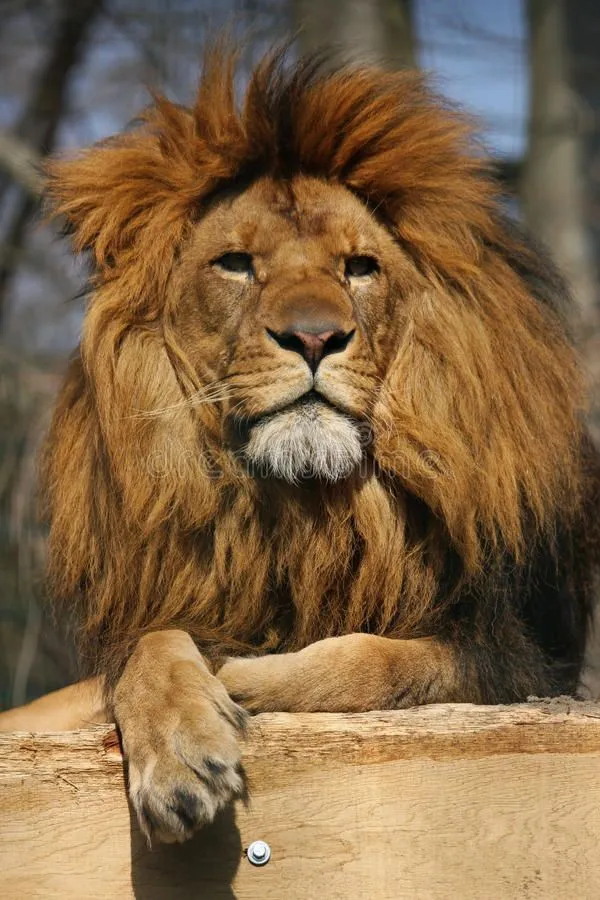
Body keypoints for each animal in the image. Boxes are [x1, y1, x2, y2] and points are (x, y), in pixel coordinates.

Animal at [1, 44, 598, 845]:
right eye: (236, 263)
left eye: (360, 267)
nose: (315, 337)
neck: (307, 505)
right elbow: (151, 646)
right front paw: (182, 748)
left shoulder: (524, 662)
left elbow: (381, 660)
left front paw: (239, 677)